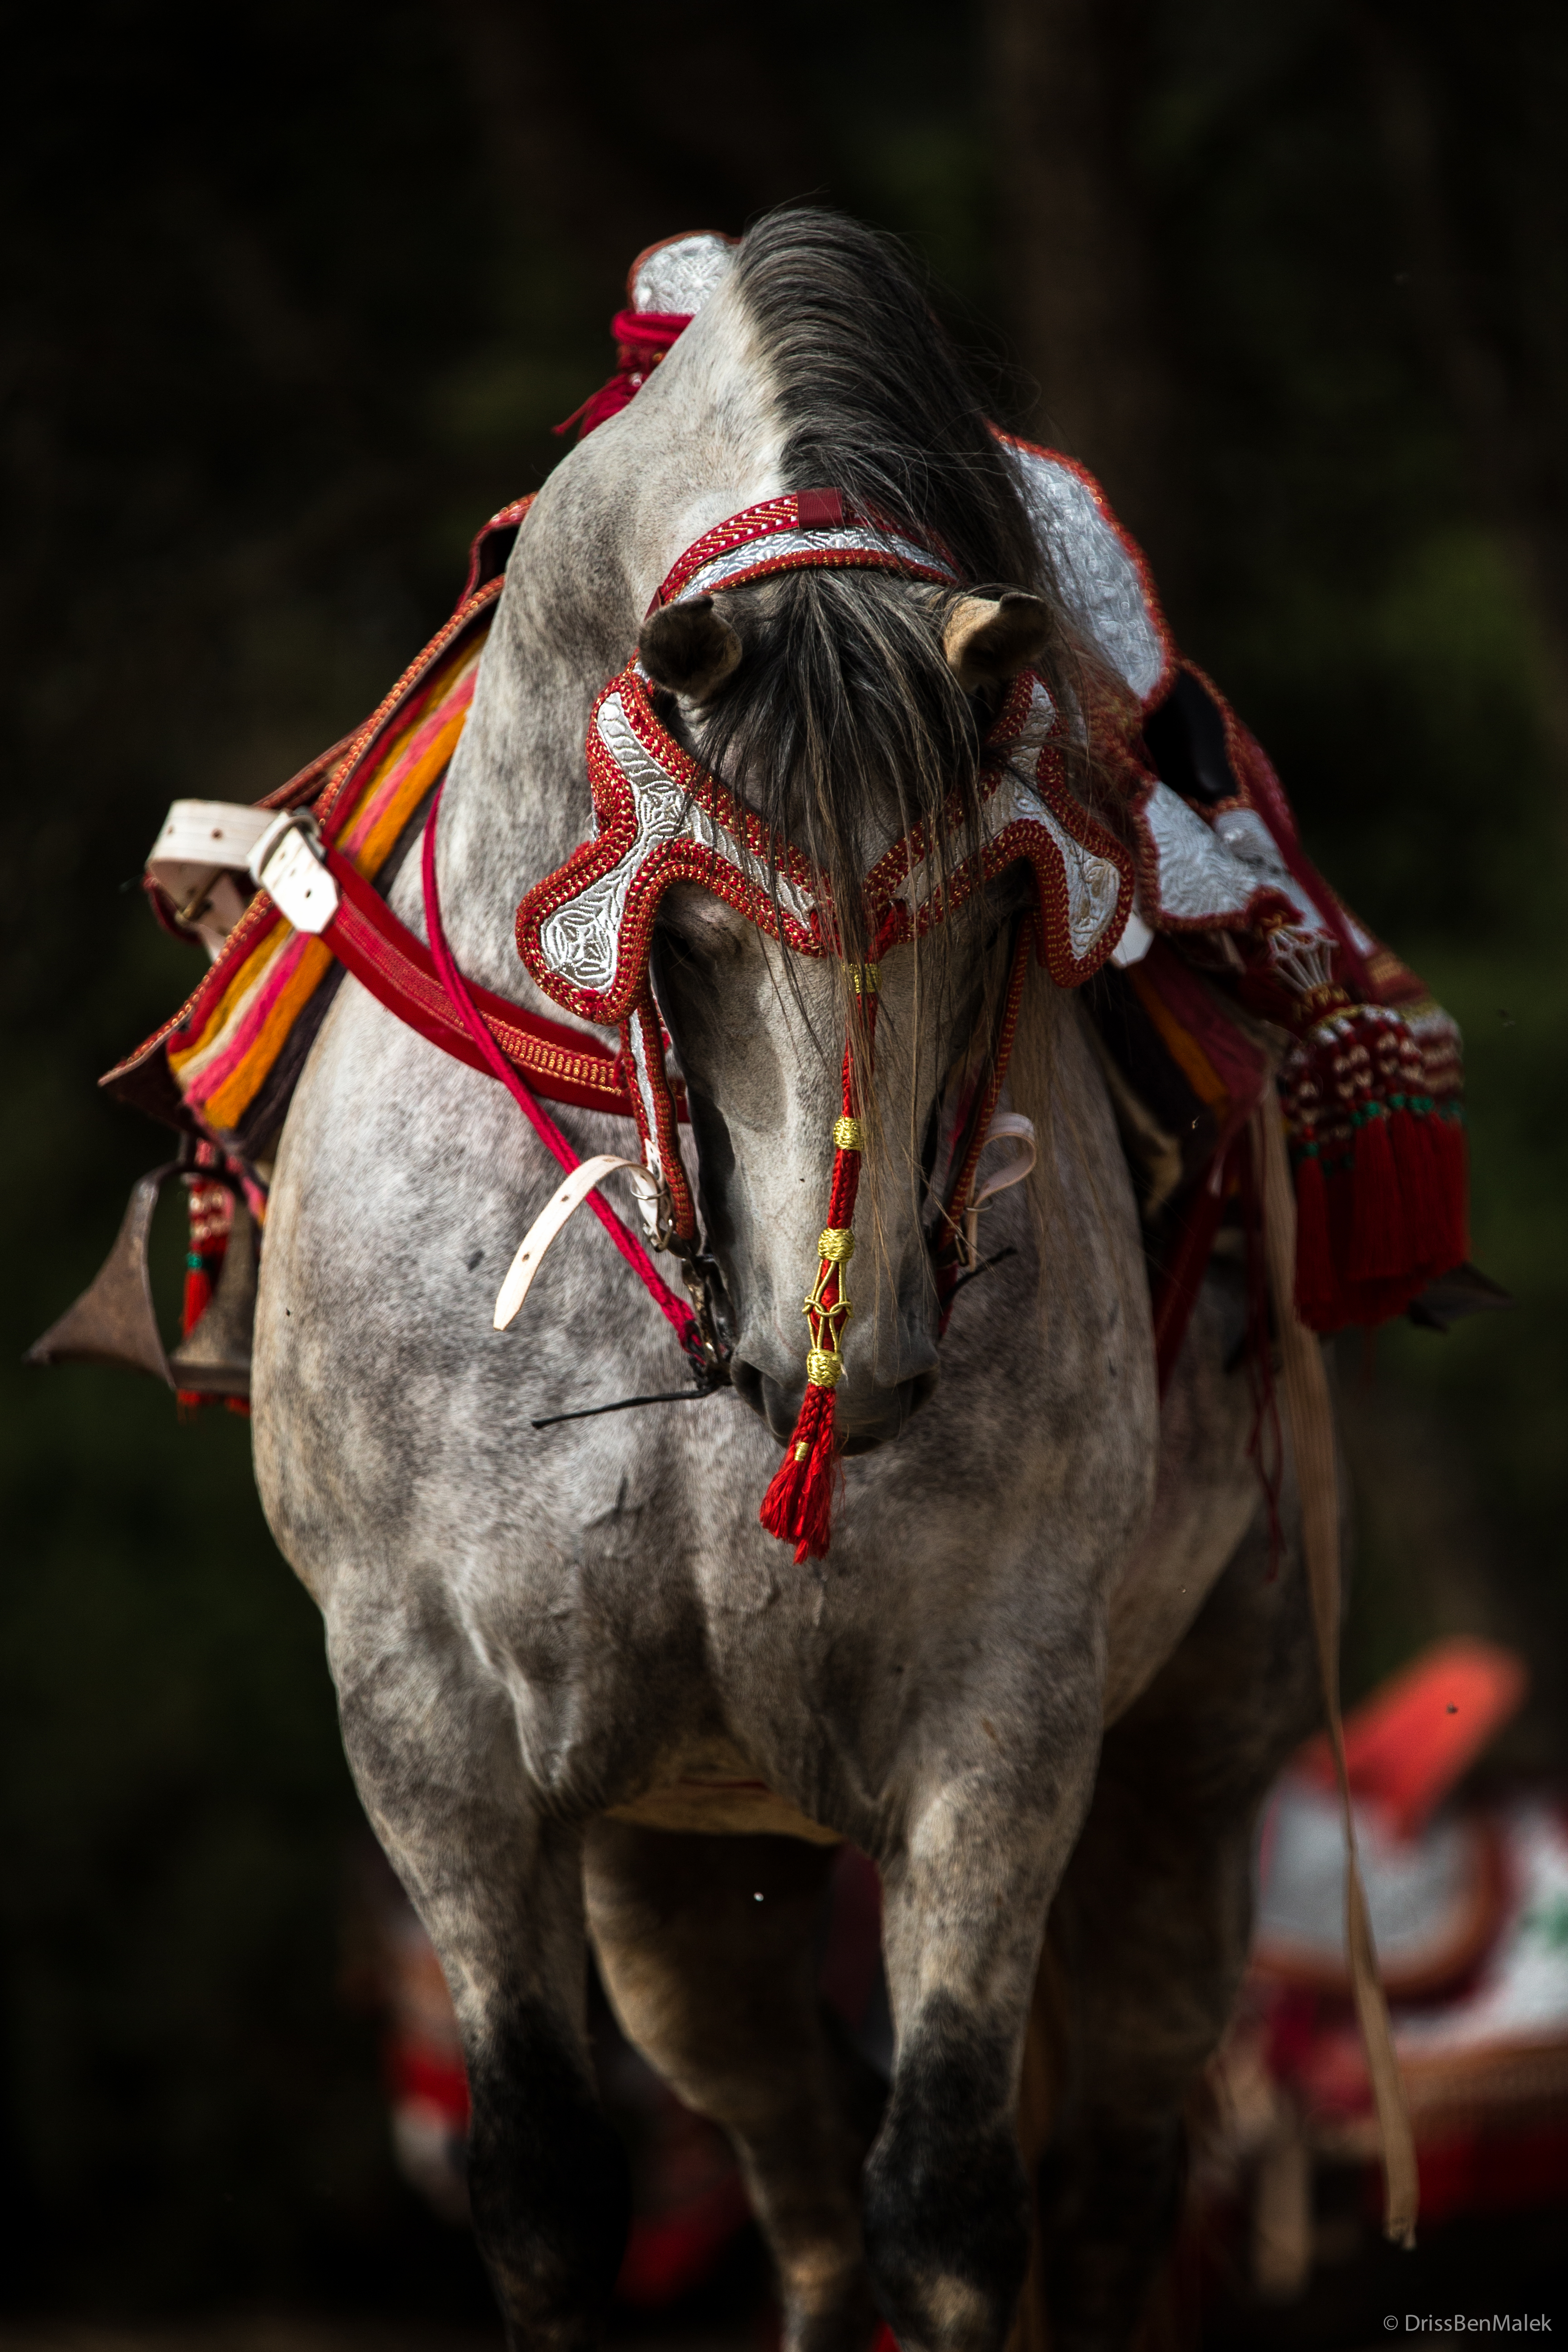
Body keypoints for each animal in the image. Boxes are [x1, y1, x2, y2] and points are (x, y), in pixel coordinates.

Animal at [250, 209, 1320, 2352]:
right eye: (692, 931)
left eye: (1002, 910)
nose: (861, 1351)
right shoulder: (427, 1710)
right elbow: (551, 2187)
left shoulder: (1005, 1712)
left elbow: (954, 2205)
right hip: (684, 1862)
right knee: (799, 2184)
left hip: (1190, 1757)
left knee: (1099, 2180)